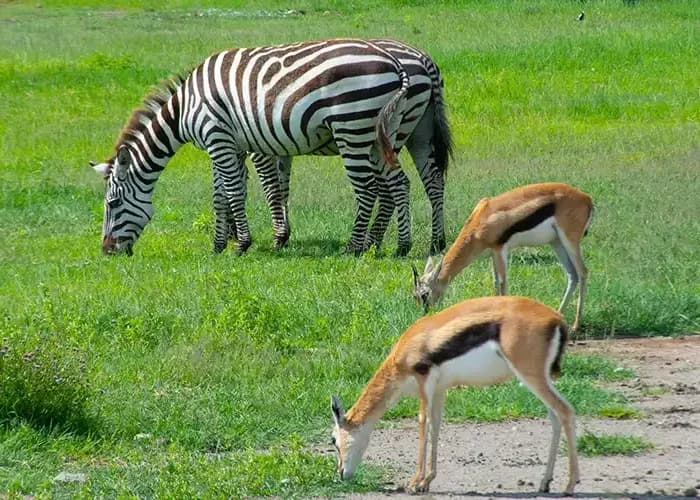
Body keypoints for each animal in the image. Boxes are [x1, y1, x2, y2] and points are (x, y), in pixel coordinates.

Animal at [91, 38, 451, 256]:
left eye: (113, 203)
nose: (106, 250)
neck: (184, 109)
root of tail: (408, 62)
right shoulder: (230, 144)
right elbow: (223, 194)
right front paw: (221, 243)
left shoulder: (222, 138)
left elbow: (247, 190)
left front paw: (247, 243)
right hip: (405, 132)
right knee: (418, 181)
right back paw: (421, 243)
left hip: (354, 127)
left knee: (369, 189)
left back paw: (356, 247)